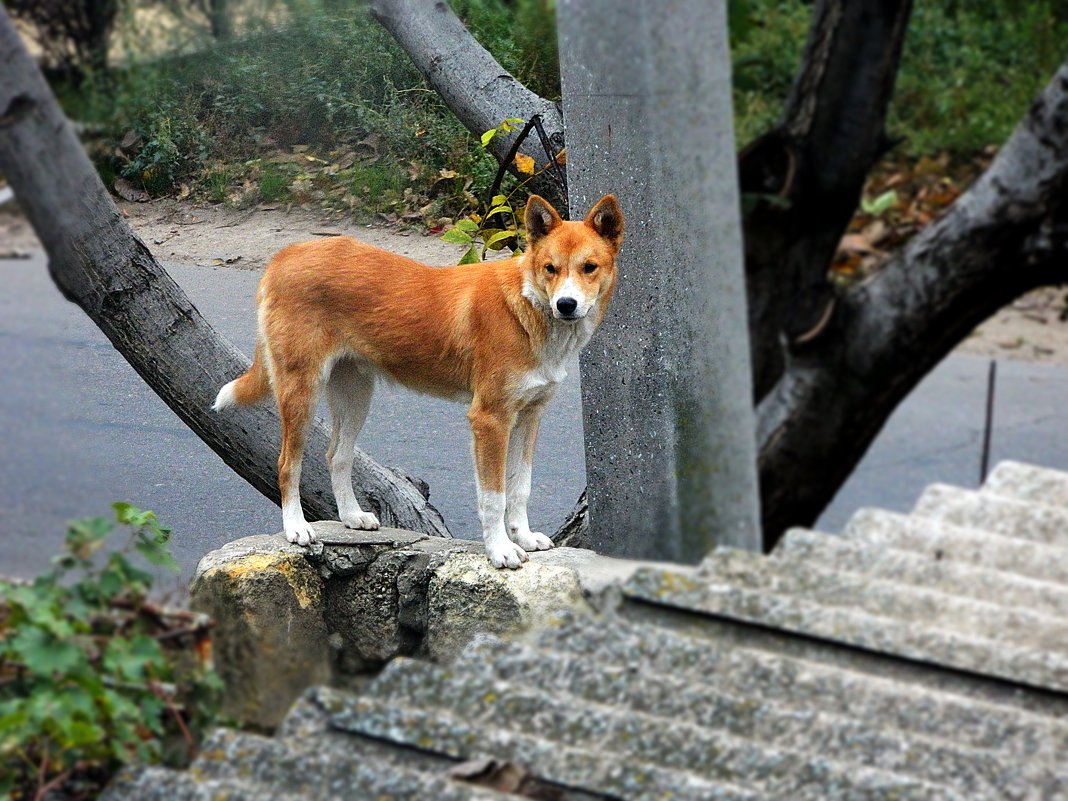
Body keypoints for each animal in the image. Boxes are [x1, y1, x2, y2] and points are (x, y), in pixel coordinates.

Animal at [212, 194, 623, 572]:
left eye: (589, 268)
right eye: (550, 268)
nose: (566, 305)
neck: (527, 308)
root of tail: (287, 254)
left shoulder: (529, 416)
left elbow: (520, 488)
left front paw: (523, 537)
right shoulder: (490, 419)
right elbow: (494, 497)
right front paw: (500, 551)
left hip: (355, 395)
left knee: (336, 456)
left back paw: (351, 517)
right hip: (301, 391)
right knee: (287, 465)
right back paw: (296, 527)